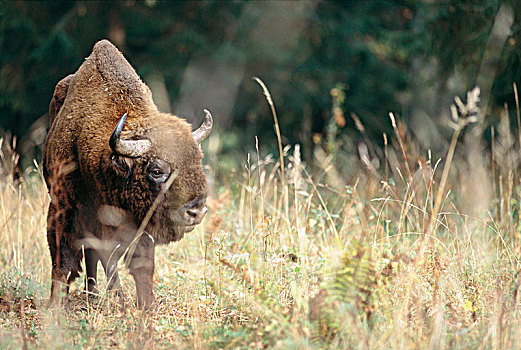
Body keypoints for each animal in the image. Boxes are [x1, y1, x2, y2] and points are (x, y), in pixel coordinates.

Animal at [41, 39, 210, 308]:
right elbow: (71, 257)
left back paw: (92, 294)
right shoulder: (66, 208)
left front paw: (146, 303)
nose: (196, 211)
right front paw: (59, 303)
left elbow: (140, 263)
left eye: (197, 162)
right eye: (156, 170)